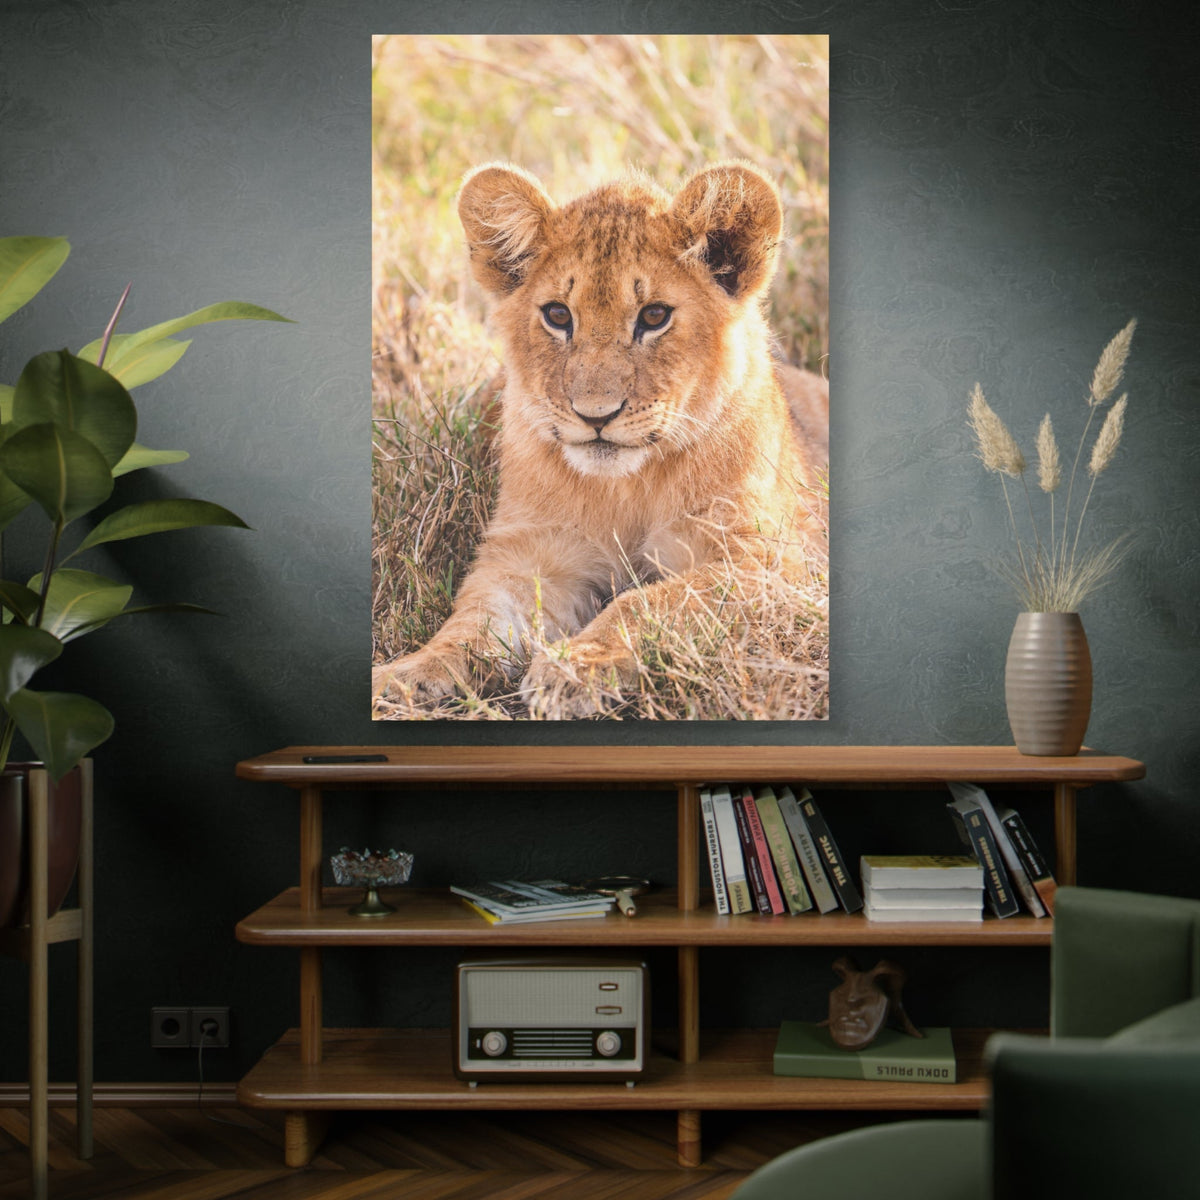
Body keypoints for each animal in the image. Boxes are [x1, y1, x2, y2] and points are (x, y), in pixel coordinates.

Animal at [372, 160, 828, 717]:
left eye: (654, 316)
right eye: (558, 315)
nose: (596, 416)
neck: (626, 488)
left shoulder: (773, 565)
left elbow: (650, 601)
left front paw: (575, 667)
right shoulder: (530, 556)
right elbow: (473, 623)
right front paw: (405, 675)